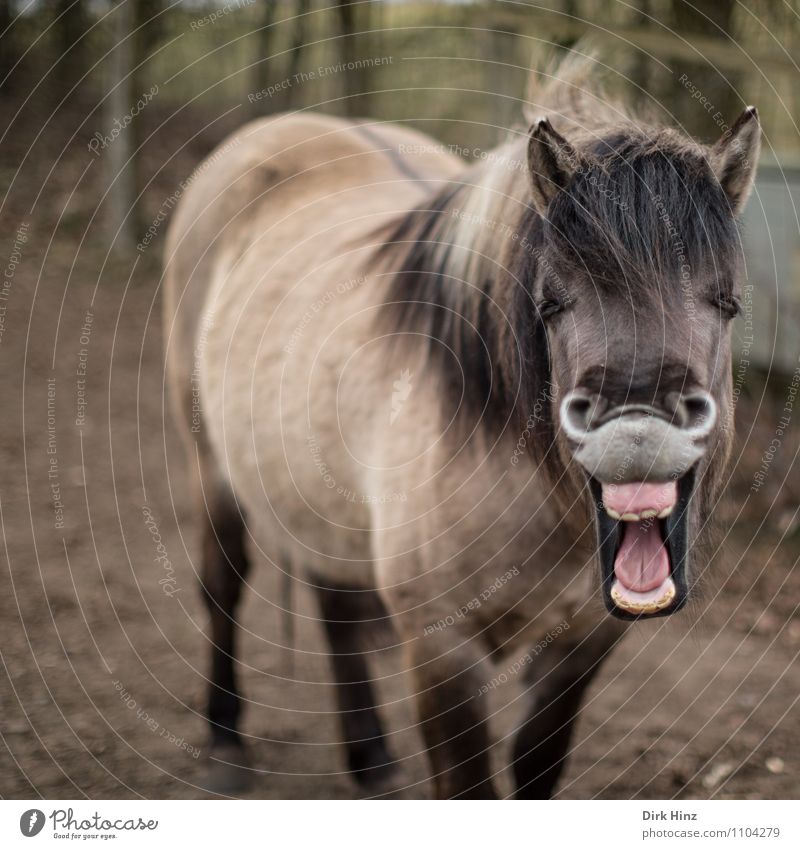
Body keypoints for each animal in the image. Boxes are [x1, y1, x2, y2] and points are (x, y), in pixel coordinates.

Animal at [161, 56, 756, 800]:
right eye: (551, 303)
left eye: (727, 302)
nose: (638, 443)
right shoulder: (444, 651)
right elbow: (470, 784)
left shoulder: (582, 644)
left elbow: (536, 767)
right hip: (208, 462)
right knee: (224, 587)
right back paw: (226, 744)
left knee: (335, 603)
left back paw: (371, 758)